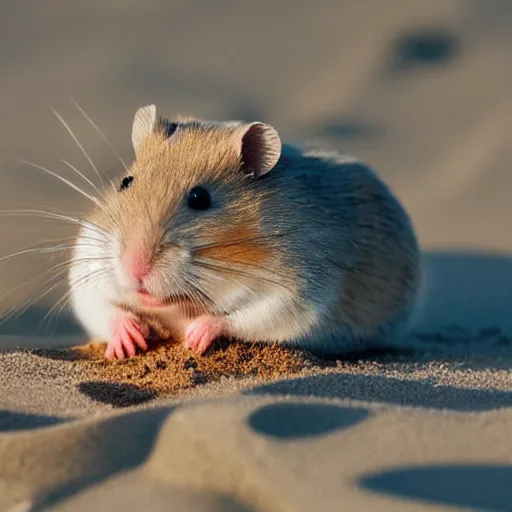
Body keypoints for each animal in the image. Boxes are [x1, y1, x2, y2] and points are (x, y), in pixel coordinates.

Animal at [68, 105, 420, 360]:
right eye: (125, 182)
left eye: (200, 198)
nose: (134, 268)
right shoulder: (88, 263)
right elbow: (99, 305)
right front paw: (129, 340)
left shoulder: (296, 292)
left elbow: (244, 317)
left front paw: (194, 337)